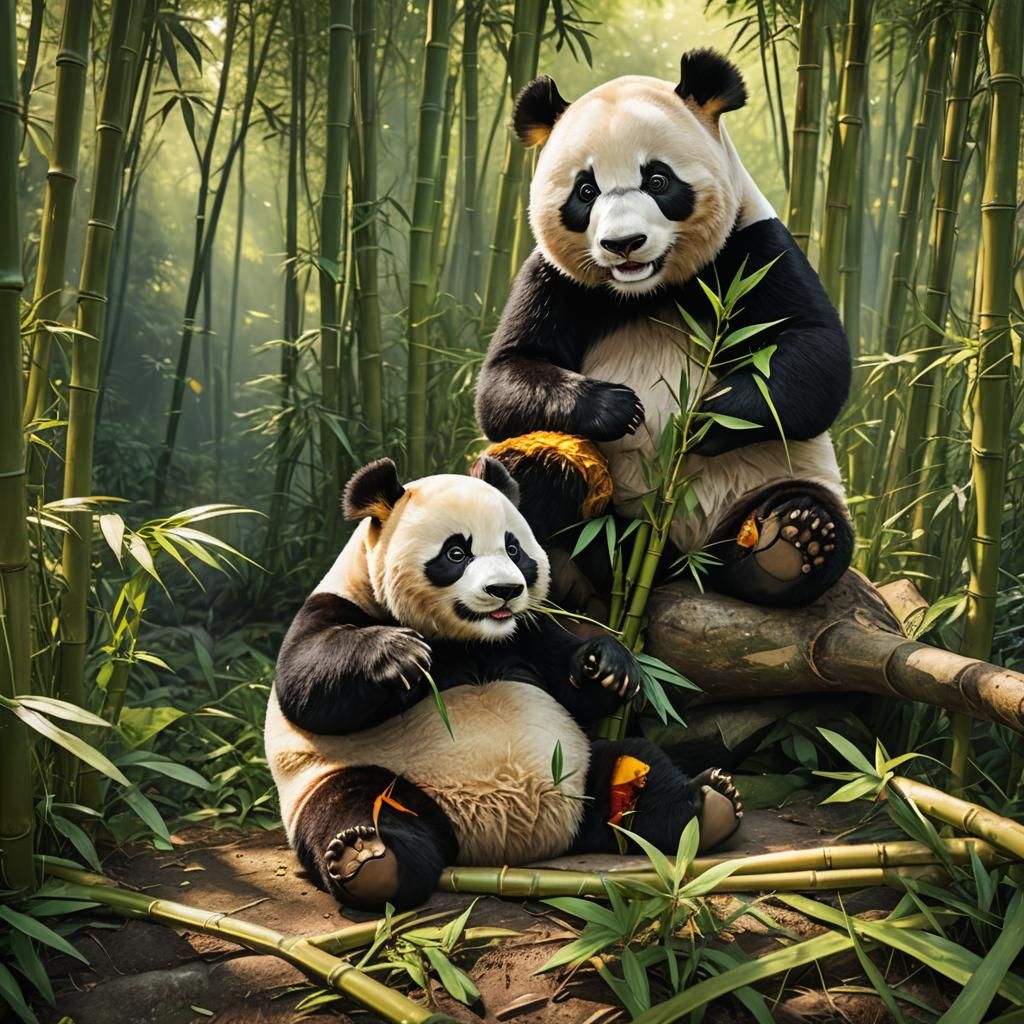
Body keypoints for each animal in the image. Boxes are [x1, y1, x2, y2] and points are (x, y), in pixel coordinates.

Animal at [266, 457, 743, 911]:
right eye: (456, 553)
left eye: (514, 549)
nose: (505, 590)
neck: (471, 638)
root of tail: (510, 844)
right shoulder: (342, 604)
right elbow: (305, 685)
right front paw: (399, 655)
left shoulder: (527, 630)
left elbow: (571, 682)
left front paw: (608, 665)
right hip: (362, 775)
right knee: (362, 807)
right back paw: (368, 860)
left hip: (579, 766)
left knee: (636, 767)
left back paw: (710, 804)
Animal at [476, 50, 854, 608]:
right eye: (585, 191)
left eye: (657, 180)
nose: (622, 243)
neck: (650, 289)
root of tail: (666, 559)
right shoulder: (554, 277)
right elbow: (508, 374)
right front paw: (617, 408)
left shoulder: (754, 246)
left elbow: (815, 353)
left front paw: (701, 419)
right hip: (599, 513)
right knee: (529, 477)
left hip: (770, 481)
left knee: (806, 517)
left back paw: (790, 546)